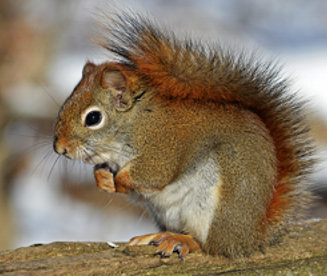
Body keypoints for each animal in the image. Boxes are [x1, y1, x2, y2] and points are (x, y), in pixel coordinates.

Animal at [52, 9, 316, 258]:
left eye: (93, 118)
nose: (60, 148)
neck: (136, 122)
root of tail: (250, 237)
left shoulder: (163, 144)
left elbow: (153, 174)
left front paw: (118, 180)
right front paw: (102, 179)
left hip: (216, 205)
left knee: (208, 245)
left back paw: (181, 241)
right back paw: (155, 236)